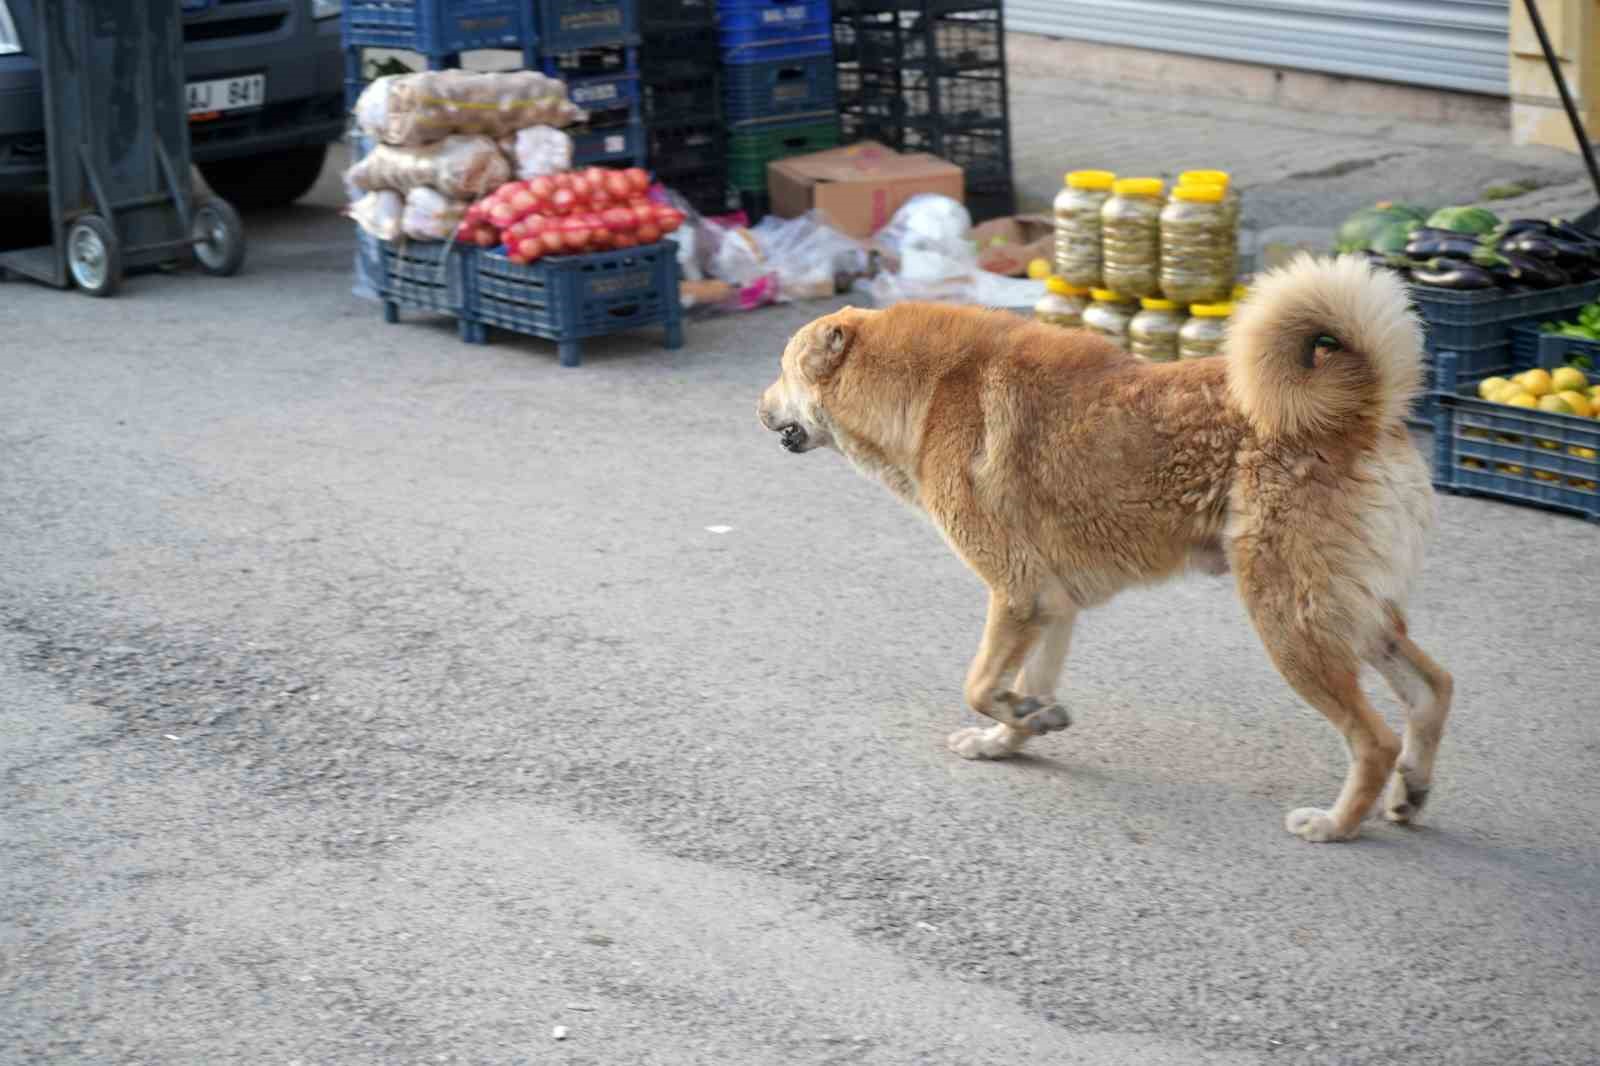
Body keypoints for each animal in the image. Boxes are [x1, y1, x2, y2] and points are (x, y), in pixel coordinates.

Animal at [758, 256, 1452, 838]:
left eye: (781, 369)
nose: (759, 408)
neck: (928, 389)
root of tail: (1359, 414)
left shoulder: (1016, 594)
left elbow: (980, 685)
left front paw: (1019, 716)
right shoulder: (1050, 604)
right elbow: (1020, 689)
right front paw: (1013, 733)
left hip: (1287, 620)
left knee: (1374, 740)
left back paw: (1335, 824)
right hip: (1347, 614)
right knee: (1433, 689)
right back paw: (1410, 794)